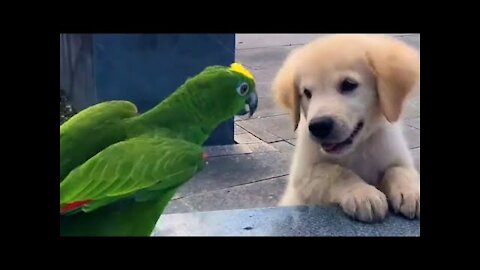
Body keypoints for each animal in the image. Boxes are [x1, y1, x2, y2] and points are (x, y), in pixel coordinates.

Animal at [274, 34, 420, 223]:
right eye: (306, 93)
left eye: (348, 84)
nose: (318, 127)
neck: (357, 149)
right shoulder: (303, 177)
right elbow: (336, 172)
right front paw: (364, 194)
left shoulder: (397, 155)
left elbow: (399, 170)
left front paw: (411, 191)